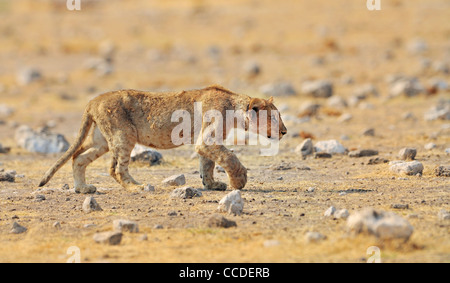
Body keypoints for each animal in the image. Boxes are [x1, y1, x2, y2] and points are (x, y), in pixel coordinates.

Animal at [37, 85, 284, 194]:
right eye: (273, 116)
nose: (284, 131)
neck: (235, 108)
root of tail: (93, 100)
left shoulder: (206, 142)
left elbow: (208, 165)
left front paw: (212, 185)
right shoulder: (206, 140)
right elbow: (230, 159)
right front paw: (239, 182)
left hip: (102, 140)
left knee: (78, 158)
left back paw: (83, 188)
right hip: (123, 135)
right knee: (116, 168)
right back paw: (136, 186)